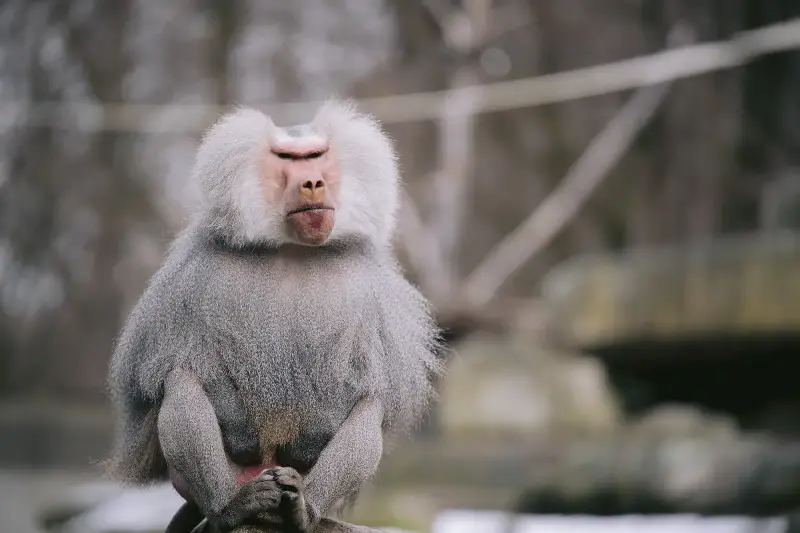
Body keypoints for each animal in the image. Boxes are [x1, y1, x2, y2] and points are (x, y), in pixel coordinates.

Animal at [104, 100, 443, 533]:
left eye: (315, 156)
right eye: (287, 158)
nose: (313, 183)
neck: (291, 250)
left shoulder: (373, 293)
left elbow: (366, 385)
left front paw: (306, 450)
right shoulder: (193, 278)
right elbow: (171, 369)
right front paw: (243, 439)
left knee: (370, 405)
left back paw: (301, 510)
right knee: (181, 380)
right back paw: (232, 508)